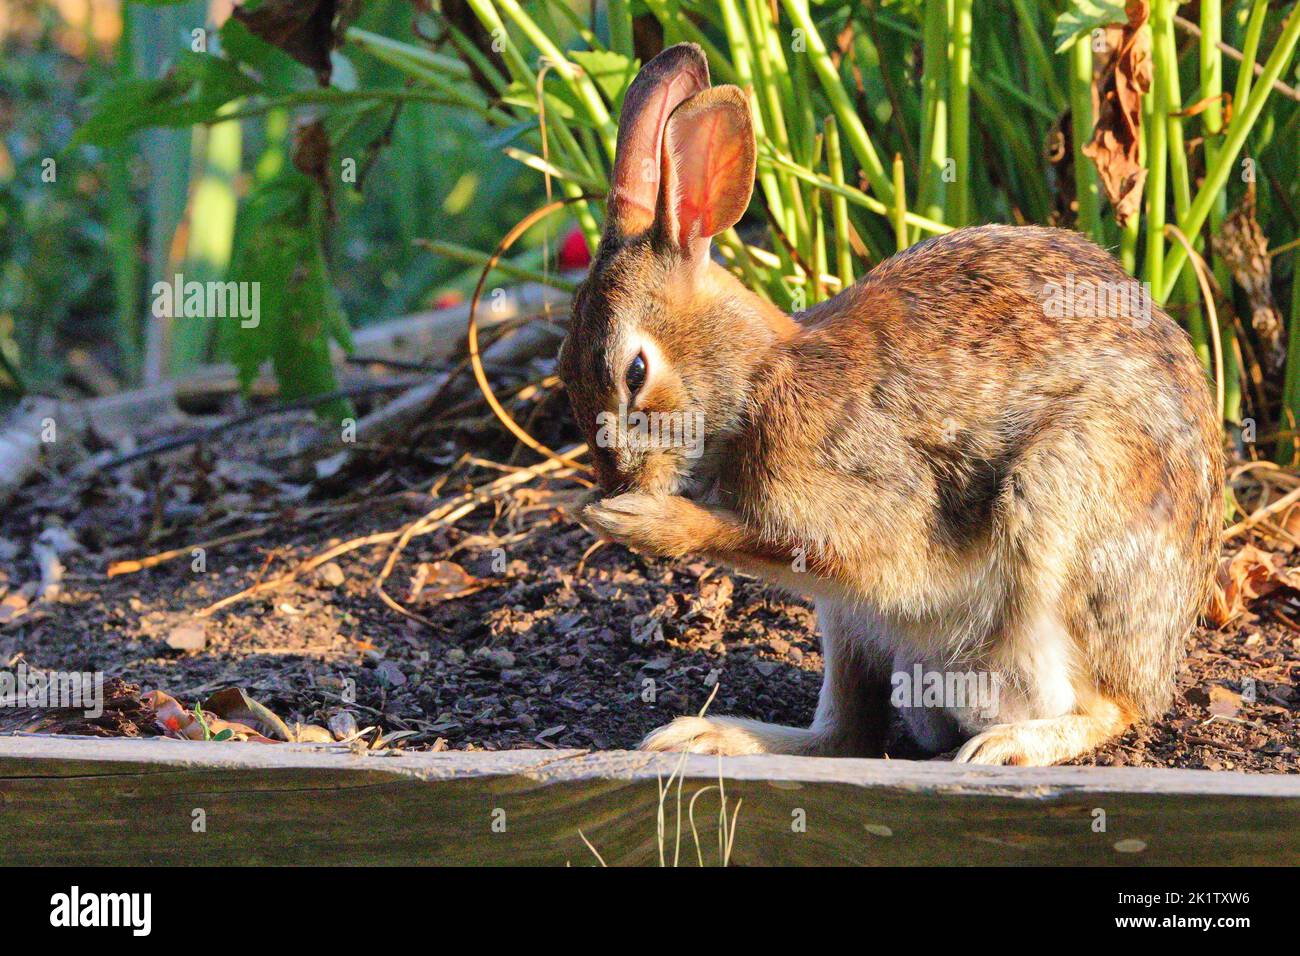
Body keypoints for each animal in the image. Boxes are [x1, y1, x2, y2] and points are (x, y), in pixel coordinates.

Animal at [556, 44, 1216, 764]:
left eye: (636, 371)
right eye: (562, 369)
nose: (618, 481)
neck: (757, 381)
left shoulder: (870, 515)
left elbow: (785, 539)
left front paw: (635, 521)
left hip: (1060, 507)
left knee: (1110, 705)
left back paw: (1008, 746)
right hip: (852, 627)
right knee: (845, 735)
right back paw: (705, 736)